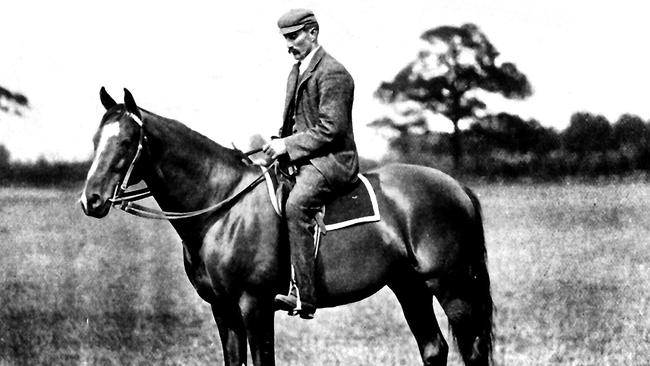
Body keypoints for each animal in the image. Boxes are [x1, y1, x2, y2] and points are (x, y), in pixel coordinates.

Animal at [79, 88, 492, 366]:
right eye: (96, 139)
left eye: (127, 141)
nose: (91, 200)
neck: (223, 206)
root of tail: (456, 186)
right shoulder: (223, 310)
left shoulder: (255, 306)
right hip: (409, 286)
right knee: (434, 348)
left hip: (451, 287)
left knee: (470, 351)